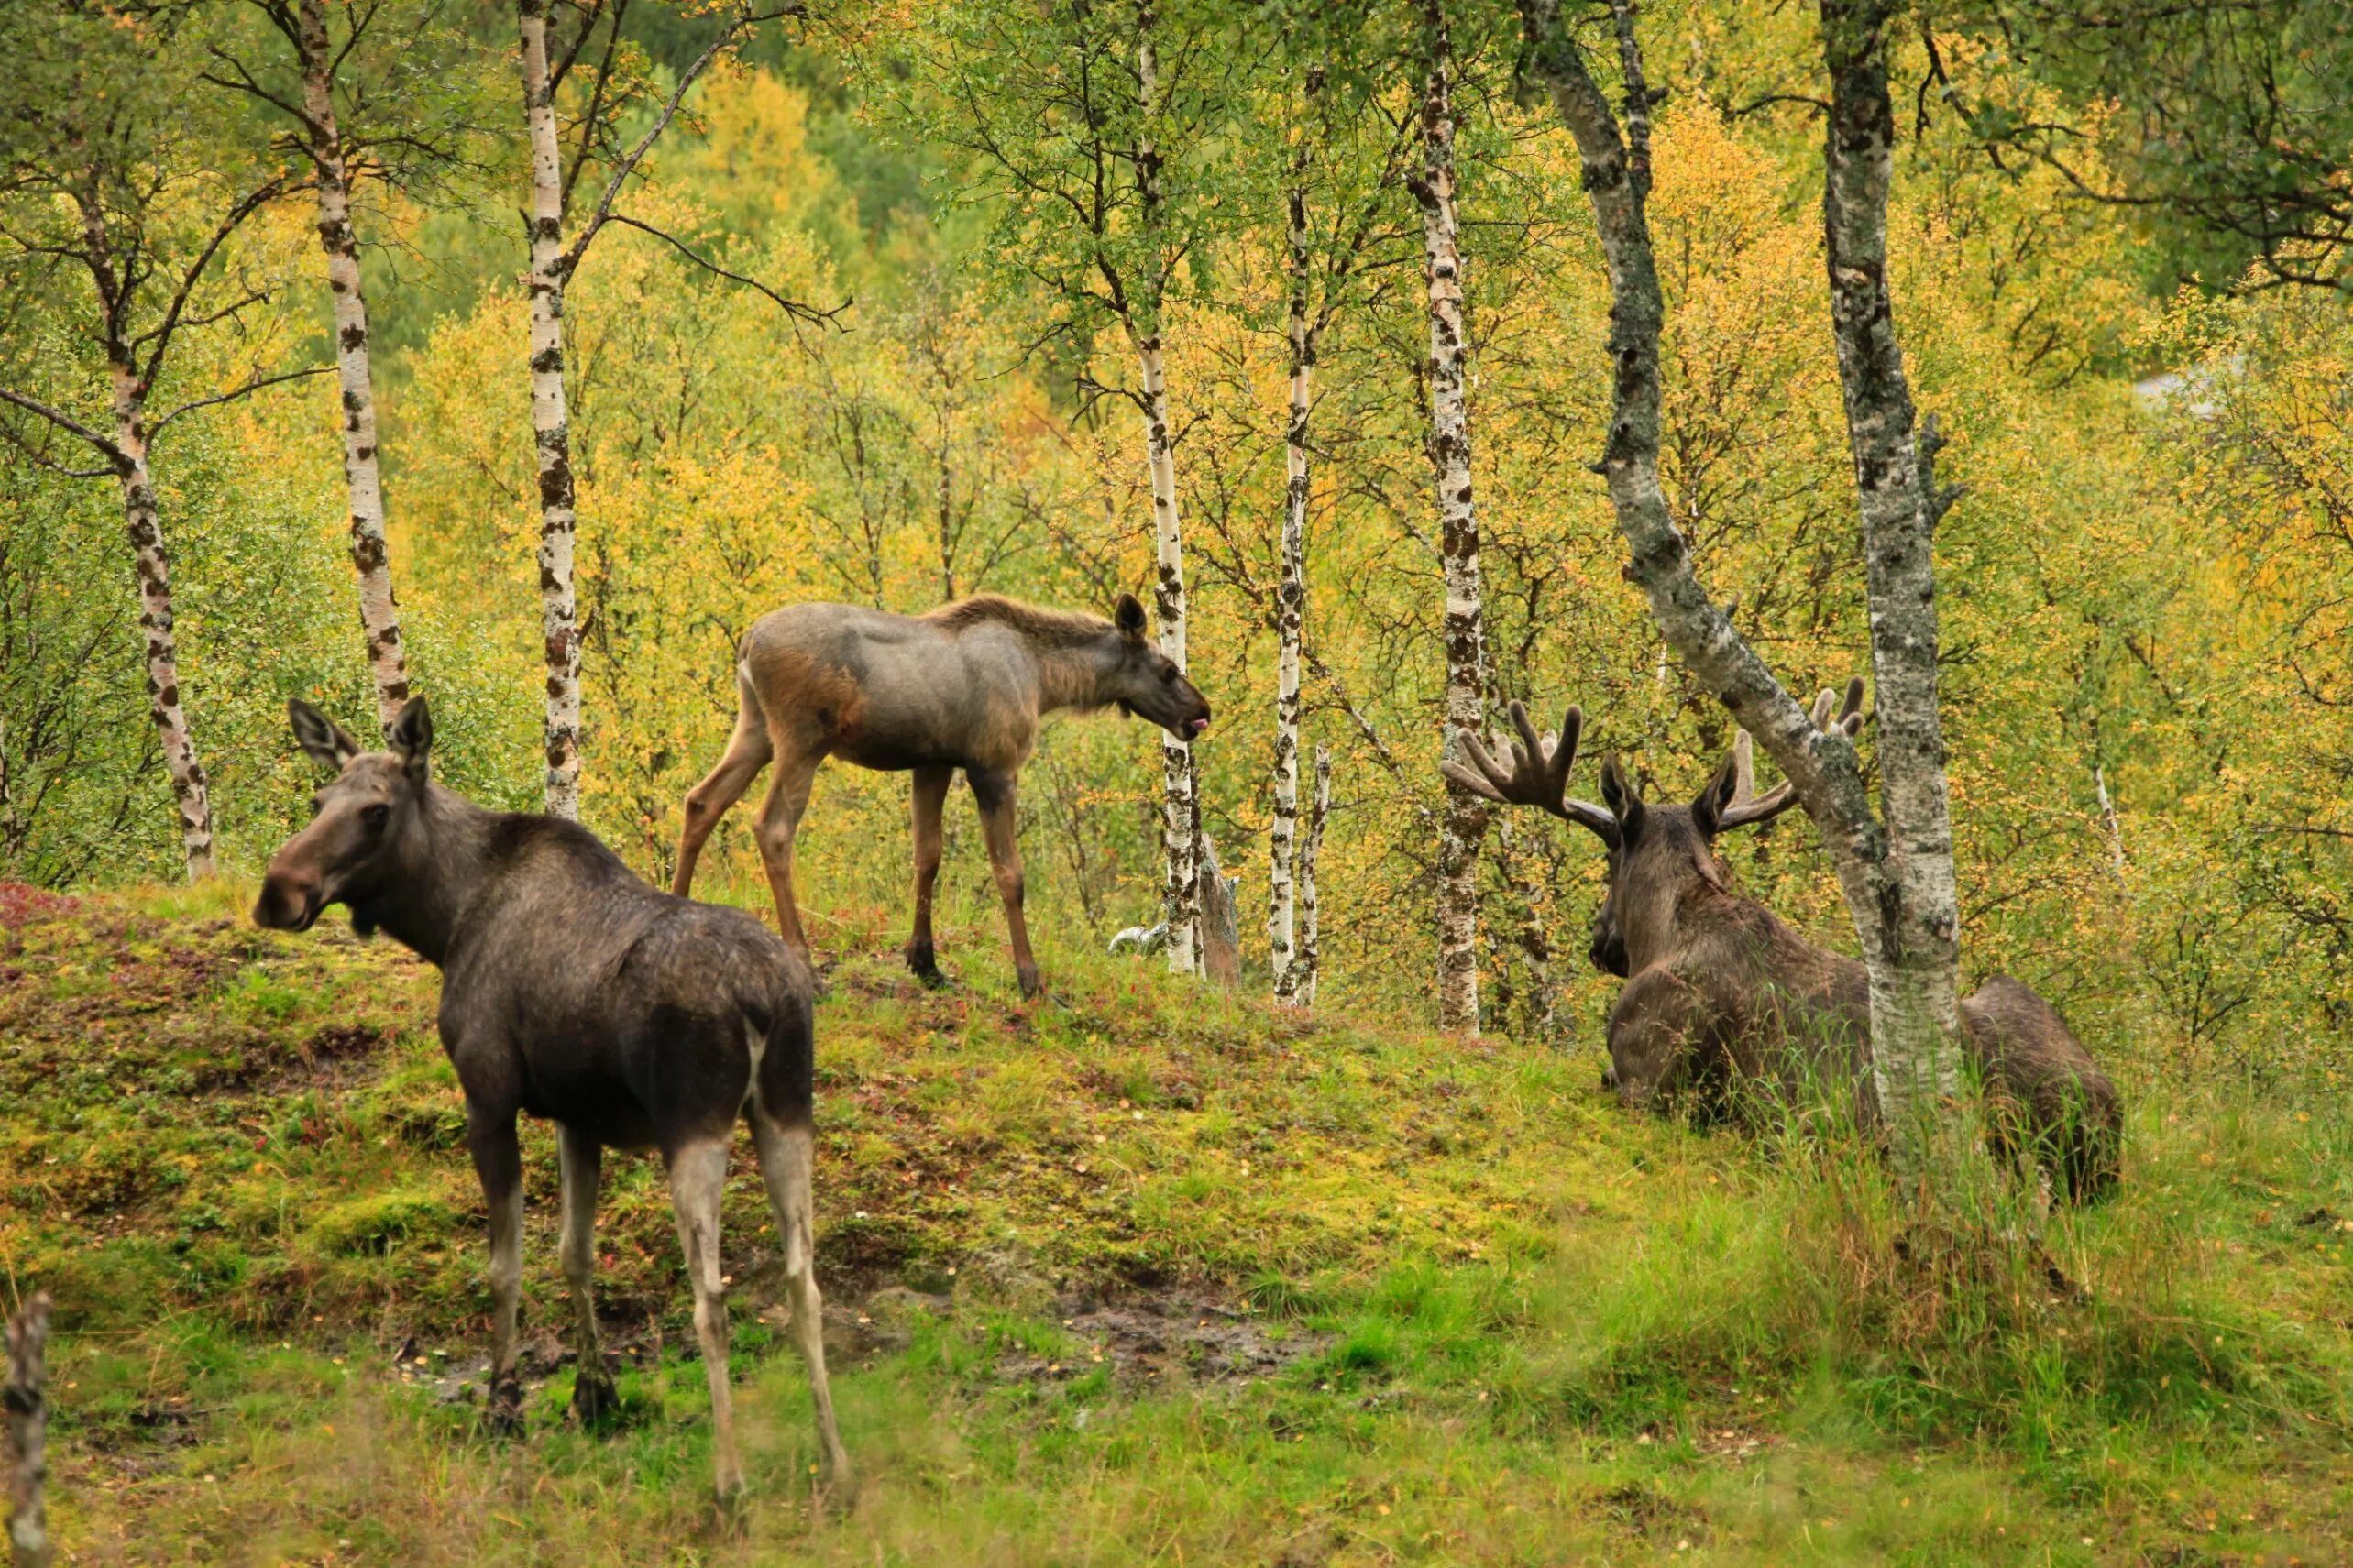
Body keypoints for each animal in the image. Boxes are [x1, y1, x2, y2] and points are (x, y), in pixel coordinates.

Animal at [252, 700, 856, 1504]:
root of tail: (762, 996)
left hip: (694, 1124)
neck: (445, 918)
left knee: (711, 1296)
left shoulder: (487, 1093)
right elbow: (576, 1252)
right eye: (320, 799)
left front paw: (503, 1403)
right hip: (787, 1111)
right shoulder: (579, 1113)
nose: (277, 892)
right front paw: (593, 1392)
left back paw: (729, 1481)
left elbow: (503, 1264)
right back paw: (837, 1463)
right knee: (803, 1283)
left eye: (375, 811)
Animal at [668, 595, 1204, 1001]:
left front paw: (925, 963)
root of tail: (747, 643)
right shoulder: (994, 766)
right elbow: (1010, 876)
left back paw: (674, 916)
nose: (1202, 711)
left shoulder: (934, 763)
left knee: (701, 800)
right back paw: (804, 965)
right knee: (772, 827)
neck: (1047, 679)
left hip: (756, 727)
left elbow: (927, 856)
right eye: (1167, 668)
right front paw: (1032, 982)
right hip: (802, 739)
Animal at [1440, 691, 2127, 1203]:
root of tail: (2100, 1118)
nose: (1601, 940)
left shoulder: (1644, 1076)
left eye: (1610, 859)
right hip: (2011, 989)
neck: (1669, 928)